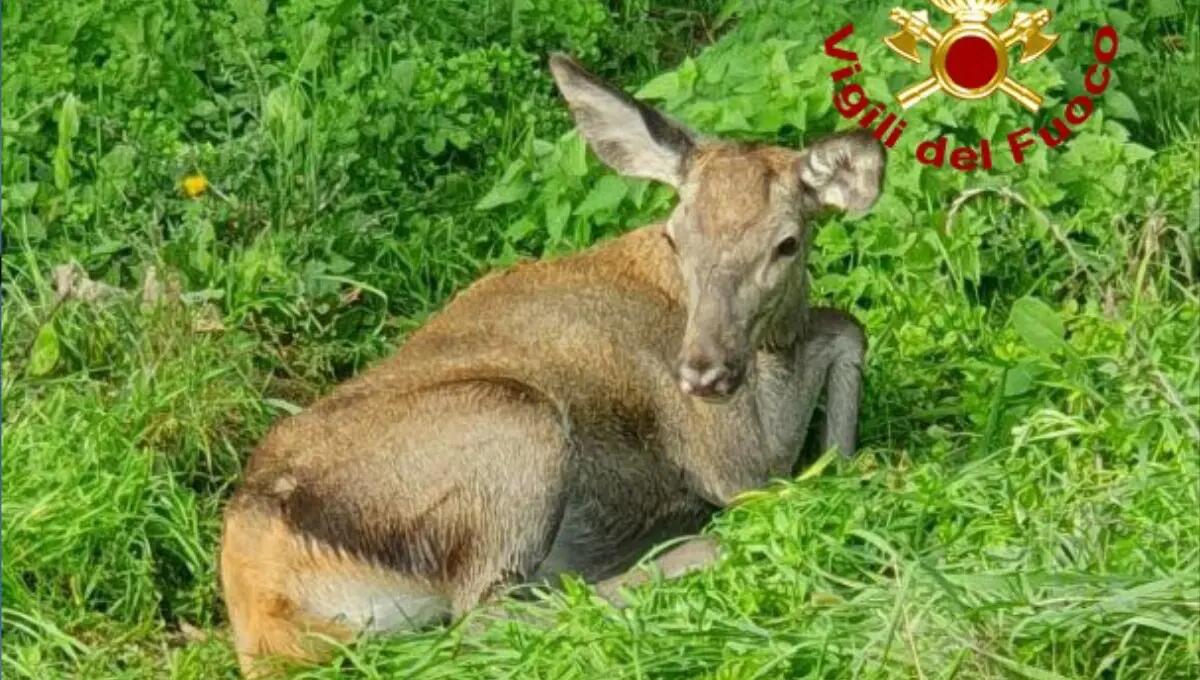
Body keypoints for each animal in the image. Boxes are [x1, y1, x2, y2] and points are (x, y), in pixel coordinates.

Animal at [220, 53, 885, 676]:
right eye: (675, 236)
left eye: (786, 243)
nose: (702, 372)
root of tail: (263, 608)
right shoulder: (732, 461)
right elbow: (842, 332)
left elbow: (846, 325)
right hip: (518, 426)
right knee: (485, 615)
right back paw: (685, 552)